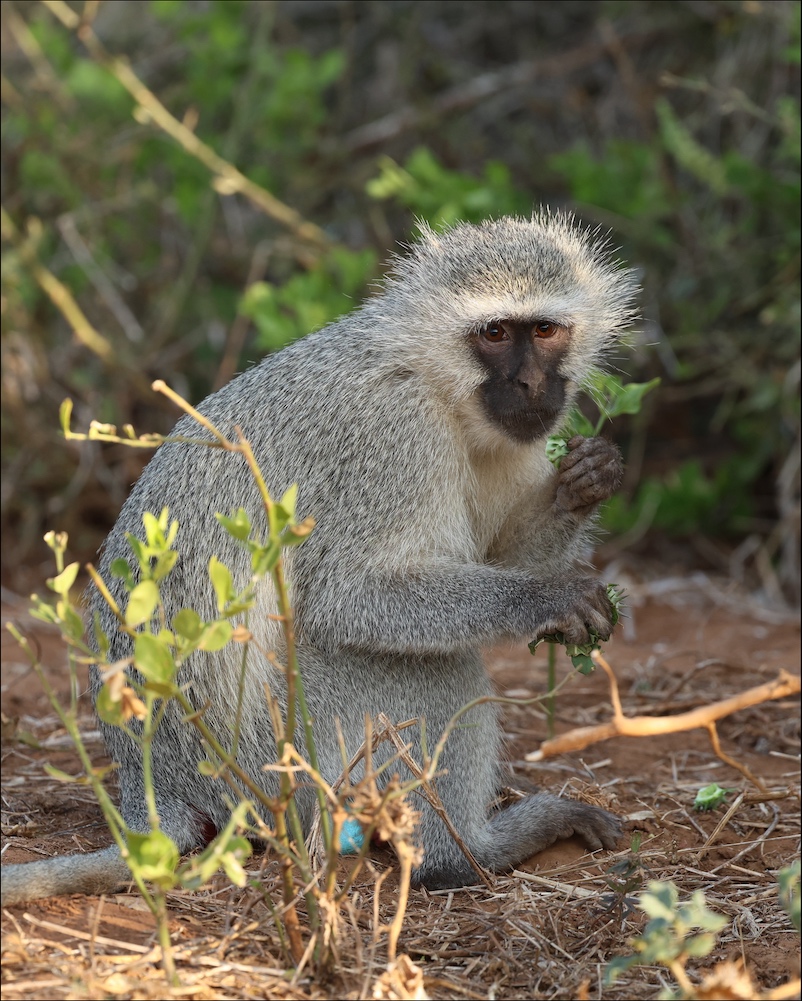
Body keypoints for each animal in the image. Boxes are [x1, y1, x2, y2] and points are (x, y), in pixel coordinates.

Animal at [1, 213, 637, 906]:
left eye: (544, 330)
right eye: (495, 333)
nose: (531, 384)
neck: (434, 380)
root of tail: (153, 775)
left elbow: (501, 553)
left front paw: (584, 481)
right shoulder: (394, 436)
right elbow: (348, 597)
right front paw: (548, 600)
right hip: (277, 753)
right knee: (435, 663)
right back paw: (468, 856)